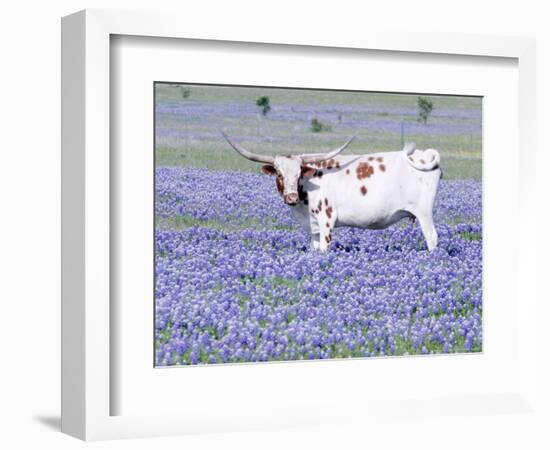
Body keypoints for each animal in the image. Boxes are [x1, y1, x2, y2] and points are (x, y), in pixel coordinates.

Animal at [222, 131, 442, 253]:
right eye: (279, 174)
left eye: (298, 173)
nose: (291, 197)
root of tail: (423, 154)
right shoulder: (313, 227)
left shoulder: (326, 221)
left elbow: (325, 249)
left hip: (424, 213)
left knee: (432, 238)